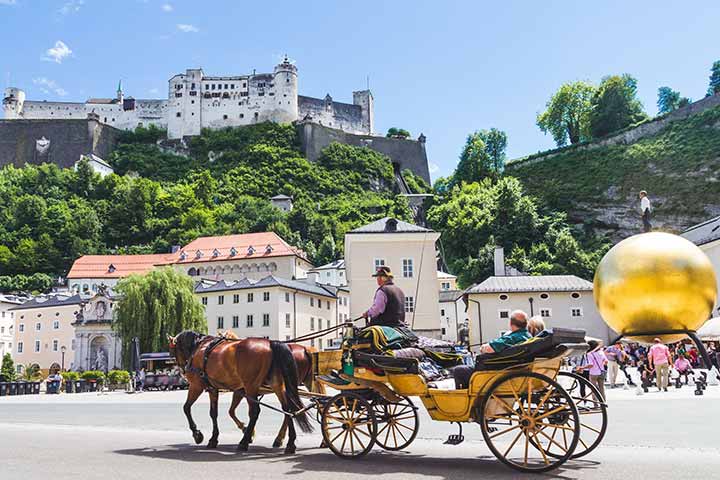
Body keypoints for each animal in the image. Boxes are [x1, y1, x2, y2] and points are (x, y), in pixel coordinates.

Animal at [172, 330, 316, 454]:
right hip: (278, 385)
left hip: (252, 386)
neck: (200, 347)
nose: (182, 370)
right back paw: (289, 443)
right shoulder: (216, 389)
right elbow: (215, 413)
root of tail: (270, 343)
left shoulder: (197, 386)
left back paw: (244, 442)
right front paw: (214, 438)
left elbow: (186, 408)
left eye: (173, 350)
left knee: (255, 412)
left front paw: (197, 434)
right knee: (288, 409)